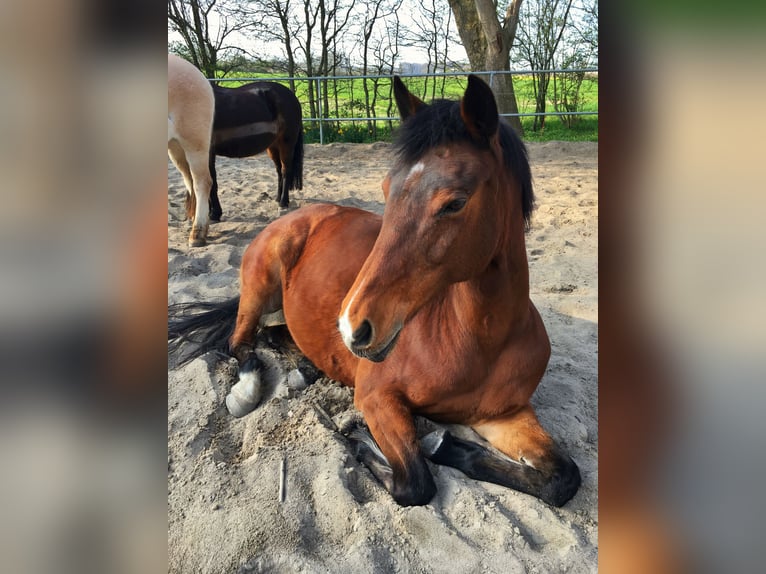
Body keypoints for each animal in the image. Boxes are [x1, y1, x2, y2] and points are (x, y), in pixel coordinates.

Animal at [193, 80, 304, 221]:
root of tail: (292, 97)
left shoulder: (207, 152)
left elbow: (211, 181)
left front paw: (215, 214)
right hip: (273, 146)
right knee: (279, 170)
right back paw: (278, 198)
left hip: (287, 143)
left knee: (285, 171)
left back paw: (283, 202)